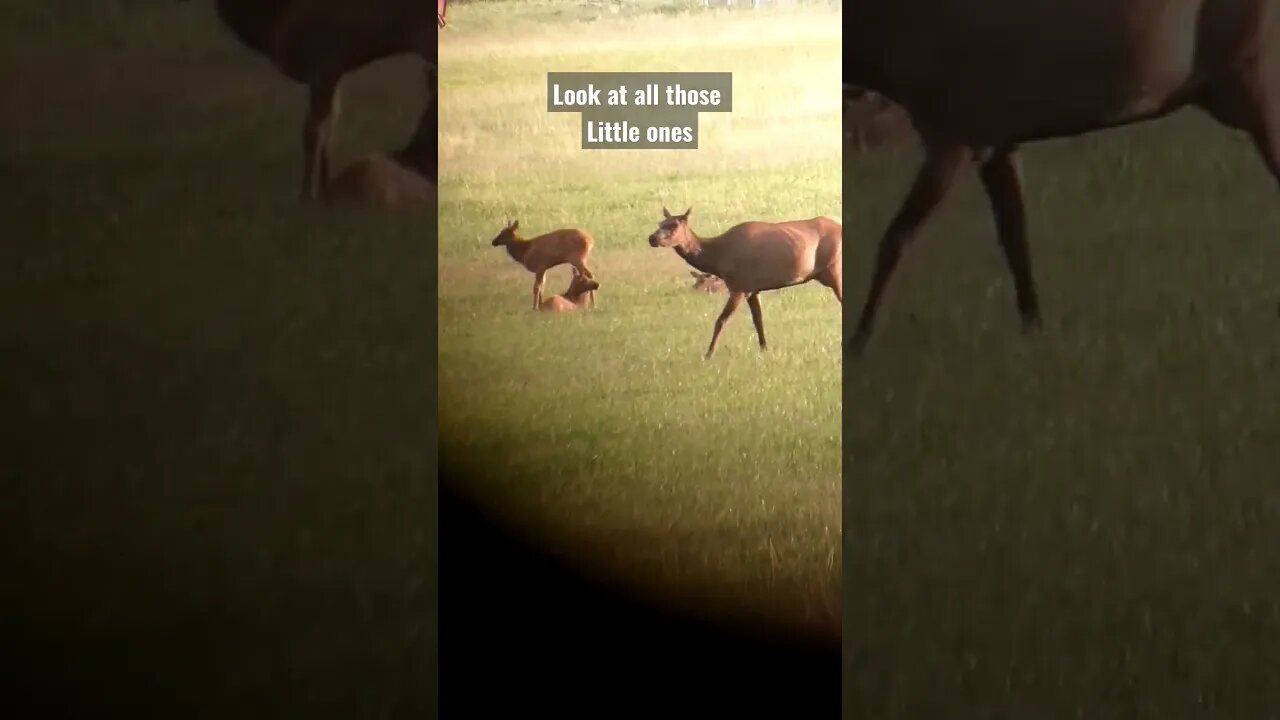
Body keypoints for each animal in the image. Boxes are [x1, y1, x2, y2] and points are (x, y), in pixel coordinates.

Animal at [177, 1, 440, 202]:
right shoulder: (334, 71)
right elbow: (329, 130)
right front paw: (324, 191)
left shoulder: (324, 63)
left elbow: (313, 133)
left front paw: (306, 198)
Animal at [650, 204, 839, 356]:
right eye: (659, 224)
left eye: (674, 225)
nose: (652, 238)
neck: (718, 258)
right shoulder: (752, 289)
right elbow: (758, 320)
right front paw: (764, 349)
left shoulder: (739, 285)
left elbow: (721, 320)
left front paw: (709, 354)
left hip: (834, 268)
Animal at [844, 0, 1280, 353]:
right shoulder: (995, 138)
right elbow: (1015, 238)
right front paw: (1034, 331)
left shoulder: (952, 128)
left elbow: (896, 238)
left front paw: (859, 342)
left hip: (1257, 83)